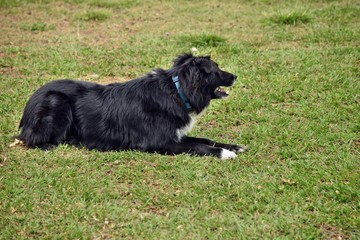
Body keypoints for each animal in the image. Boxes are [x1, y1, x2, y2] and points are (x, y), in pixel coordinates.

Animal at [19, 53, 245, 160]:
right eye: (216, 70)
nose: (235, 76)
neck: (177, 90)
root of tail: (29, 104)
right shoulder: (160, 143)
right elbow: (198, 146)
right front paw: (225, 154)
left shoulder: (176, 134)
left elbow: (206, 140)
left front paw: (233, 146)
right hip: (57, 102)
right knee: (31, 139)